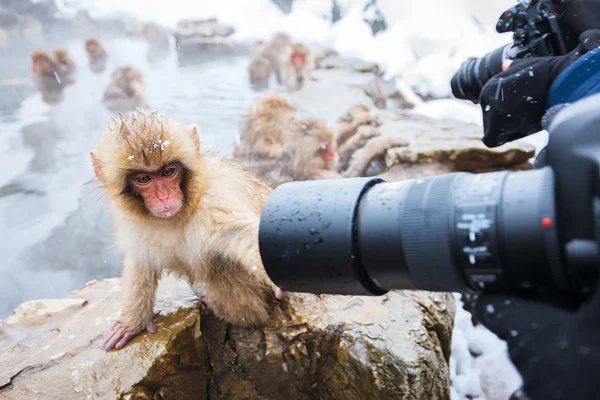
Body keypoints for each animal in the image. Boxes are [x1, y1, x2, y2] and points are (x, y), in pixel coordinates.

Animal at [91, 109, 284, 350]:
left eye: (168, 172)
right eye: (144, 178)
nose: (164, 197)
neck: (179, 215)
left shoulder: (217, 202)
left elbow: (242, 235)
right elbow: (141, 260)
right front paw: (133, 322)